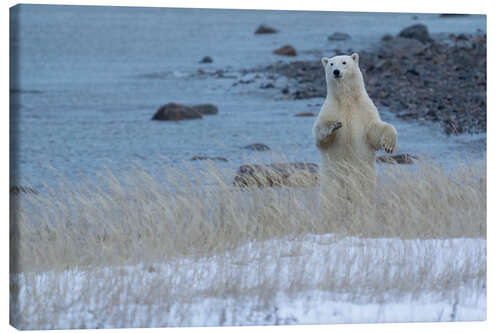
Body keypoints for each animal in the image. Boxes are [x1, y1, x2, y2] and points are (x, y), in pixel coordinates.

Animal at [312, 52, 398, 202]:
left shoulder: (364, 109)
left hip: (364, 177)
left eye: (344, 62)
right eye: (331, 64)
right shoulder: (331, 108)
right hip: (331, 177)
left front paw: (389, 145)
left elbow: (375, 130)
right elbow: (320, 135)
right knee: (331, 197)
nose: (336, 72)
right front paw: (334, 125)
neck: (347, 99)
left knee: (363, 196)